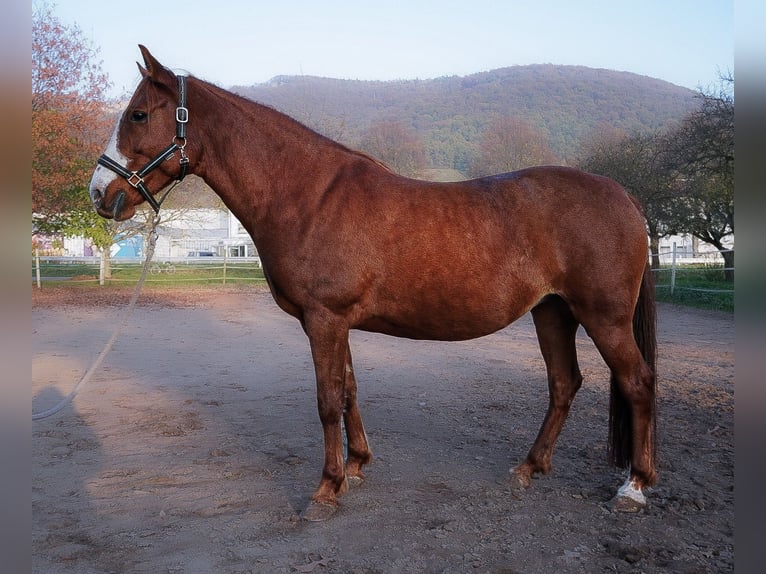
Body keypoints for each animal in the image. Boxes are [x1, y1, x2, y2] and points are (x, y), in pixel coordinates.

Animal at [87, 46, 656, 520]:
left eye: (139, 115)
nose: (100, 193)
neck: (308, 196)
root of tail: (622, 195)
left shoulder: (324, 319)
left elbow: (326, 399)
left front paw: (325, 490)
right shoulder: (332, 323)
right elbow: (348, 391)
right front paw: (356, 466)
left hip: (603, 317)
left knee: (637, 383)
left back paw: (634, 487)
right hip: (552, 311)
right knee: (564, 384)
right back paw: (529, 468)